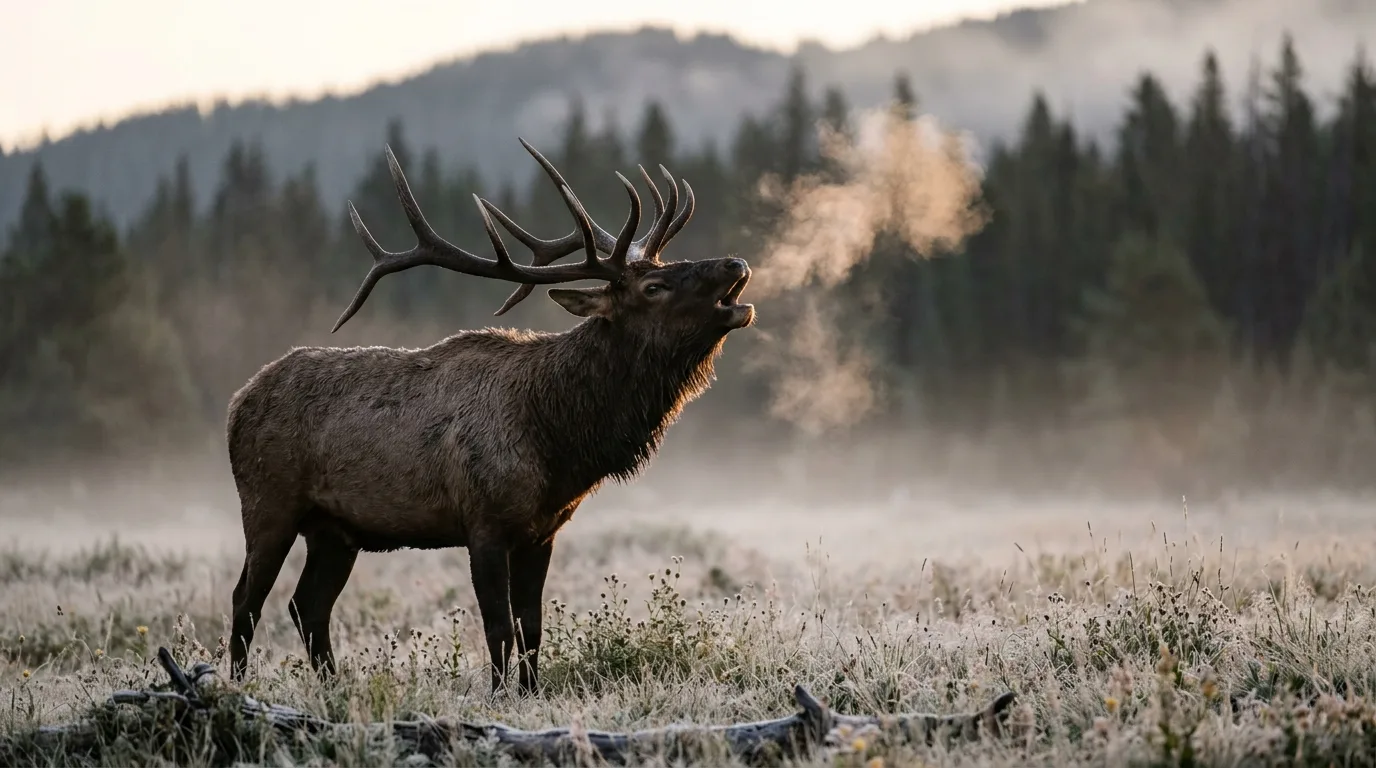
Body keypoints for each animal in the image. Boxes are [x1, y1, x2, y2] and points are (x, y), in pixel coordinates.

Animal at [224, 137, 755, 696]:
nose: (735, 263)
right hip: (267, 502)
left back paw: (333, 686)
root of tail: (237, 402)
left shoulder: (542, 531)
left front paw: (530, 692)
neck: (558, 439)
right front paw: (500, 695)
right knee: (247, 599)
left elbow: (532, 625)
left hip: (335, 530)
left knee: (307, 605)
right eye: (654, 286)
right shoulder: (483, 521)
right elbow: (498, 625)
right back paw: (235, 685)